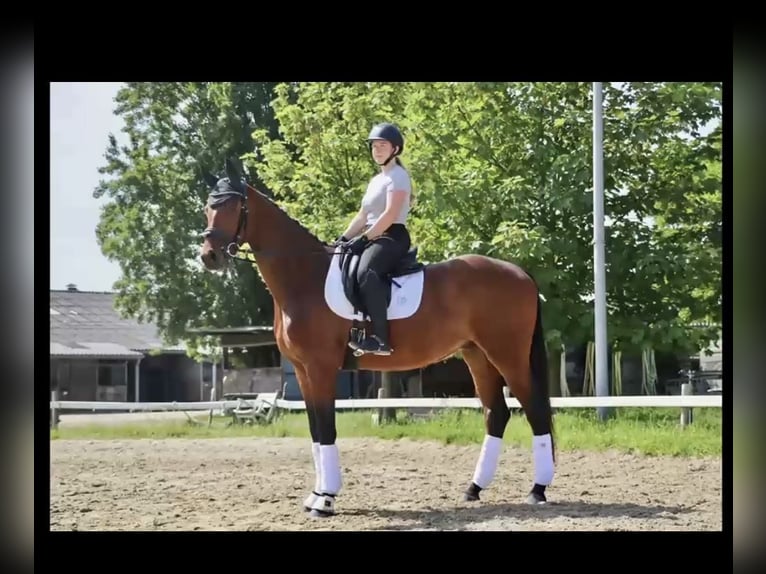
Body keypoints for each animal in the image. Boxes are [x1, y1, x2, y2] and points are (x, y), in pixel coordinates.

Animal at [199, 158, 556, 518]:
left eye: (231, 206)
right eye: (207, 208)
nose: (209, 256)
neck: (304, 278)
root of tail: (520, 273)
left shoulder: (320, 368)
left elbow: (326, 428)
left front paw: (326, 499)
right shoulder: (301, 370)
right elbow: (315, 431)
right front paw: (315, 495)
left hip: (507, 355)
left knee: (535, 409)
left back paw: (537, 490)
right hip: (477, 355)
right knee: (496, 413)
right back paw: (474, 489)